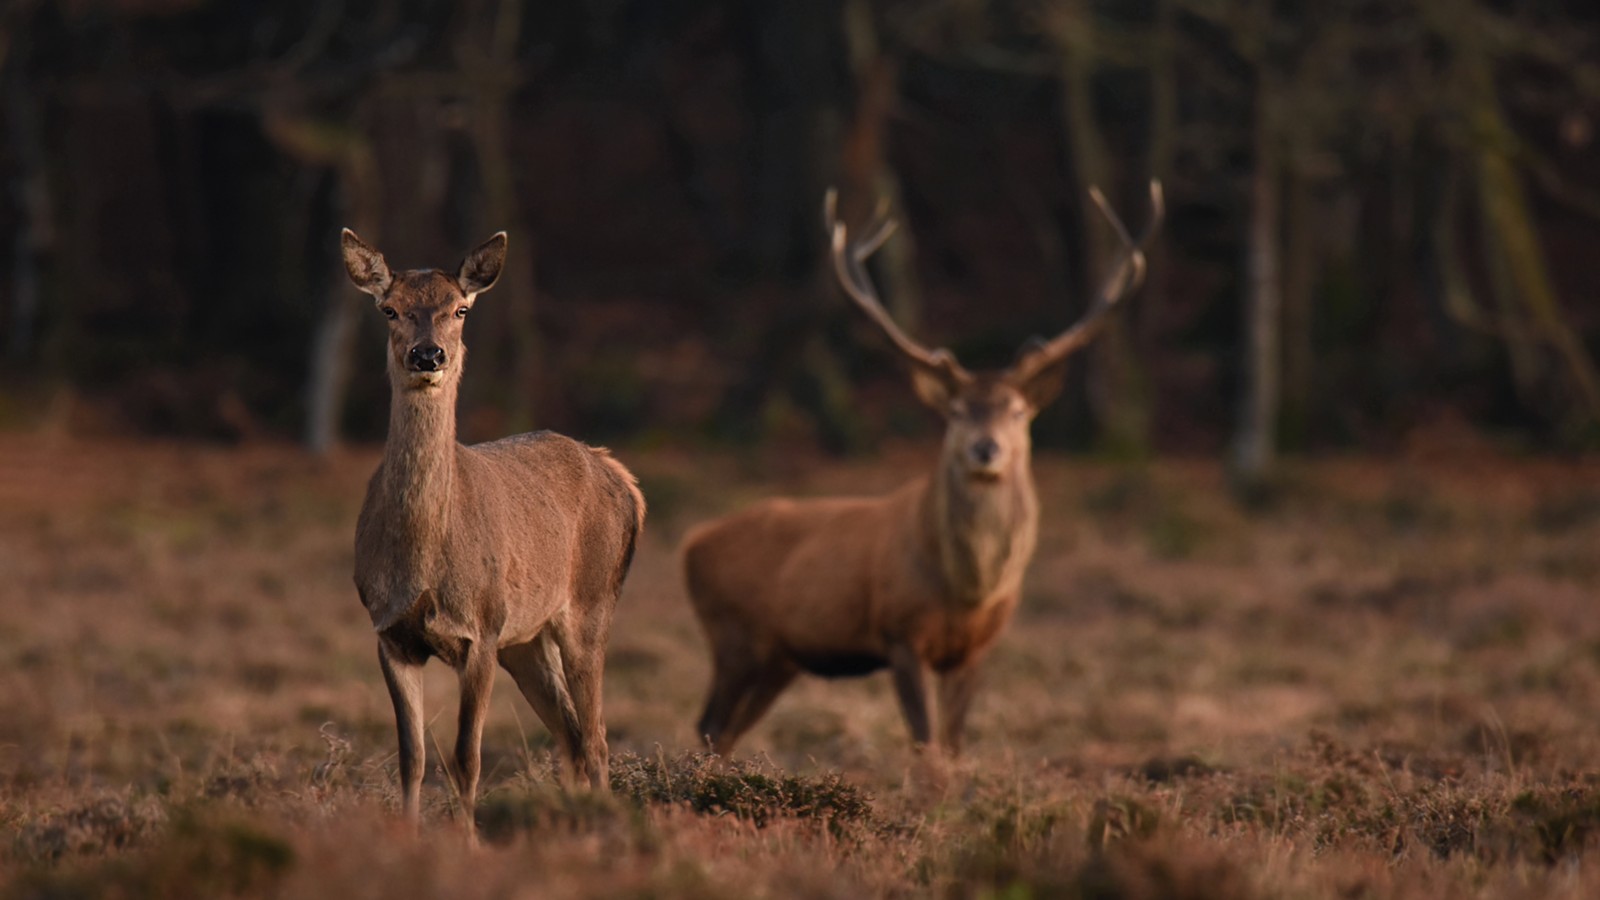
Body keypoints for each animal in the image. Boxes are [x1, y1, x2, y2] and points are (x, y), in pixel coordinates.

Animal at [342, 229, 643, 826]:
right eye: (390, 309)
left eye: (460, 309)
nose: (428, 354)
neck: (424, 561)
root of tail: (621, 476)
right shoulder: (389, 632)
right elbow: (412, 758)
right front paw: (407, 837)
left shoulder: (480, 628)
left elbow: (466, 758)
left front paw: (468, 839)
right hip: (524, 639)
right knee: (570, 735)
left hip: (590, 605)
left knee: (596, 737)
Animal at [678, 180, 1164, 749]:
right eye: (955, 411)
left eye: (1018, 411)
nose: (986, 448)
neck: (968, 591)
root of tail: (692, 543)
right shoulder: (900, 634)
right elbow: (926, 744)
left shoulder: (974, 651)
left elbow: (952, 747)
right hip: (734, 637)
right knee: (709, 724)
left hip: (780, 658)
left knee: (725, 730)